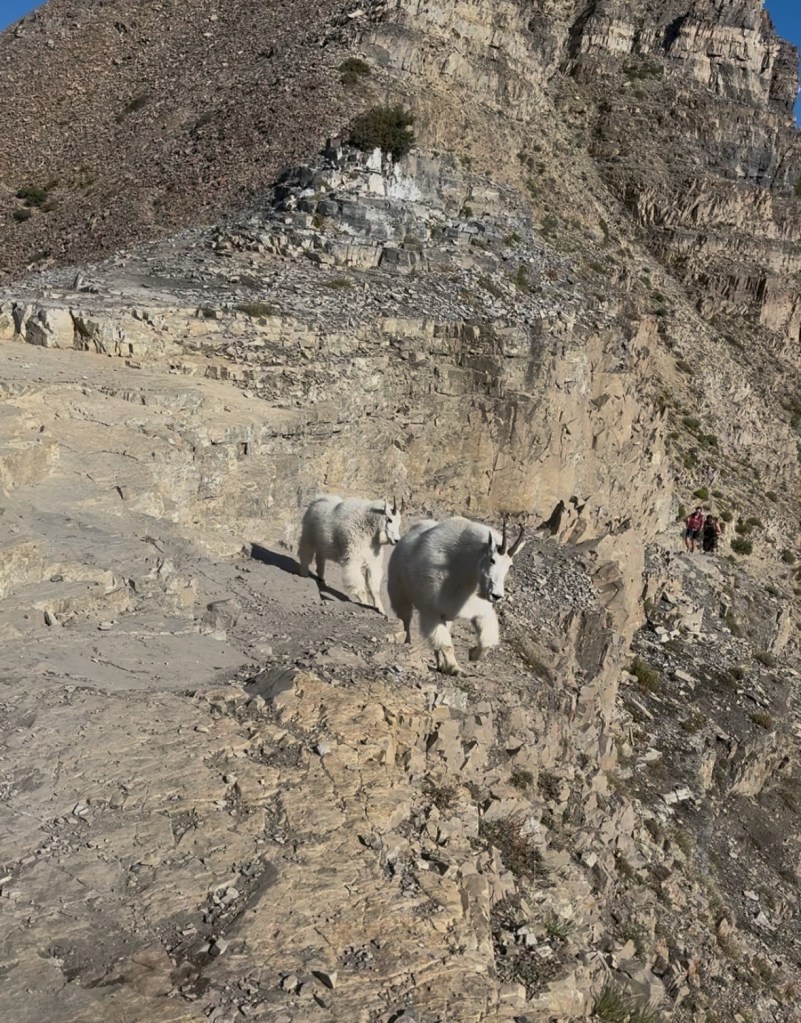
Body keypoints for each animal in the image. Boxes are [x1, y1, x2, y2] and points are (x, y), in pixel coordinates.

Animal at [387, 516, 525, 674]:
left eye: (510, 565)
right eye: (492, 560)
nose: (496, 596)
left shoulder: (480, 612)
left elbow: (486, 642)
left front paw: (472, 654)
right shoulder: (431, 613)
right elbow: (446, 644)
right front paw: (455, 668)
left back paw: (440, 664)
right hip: (399, 593)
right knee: (406, 620)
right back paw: (408, 641)